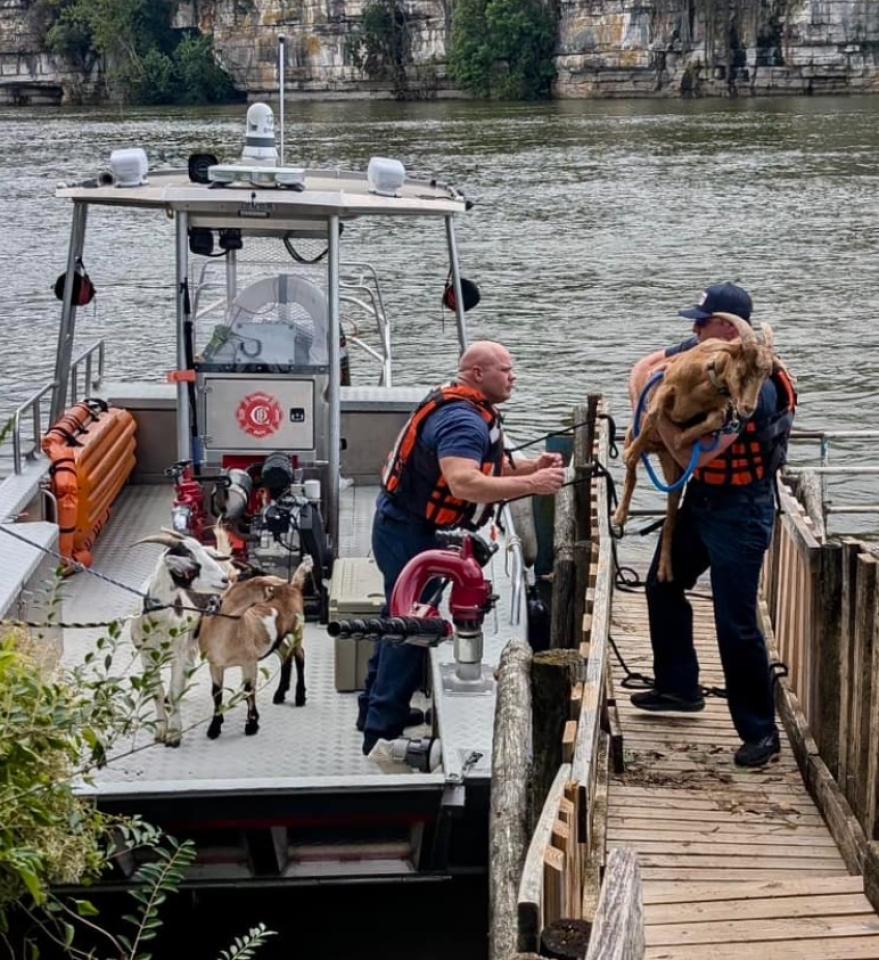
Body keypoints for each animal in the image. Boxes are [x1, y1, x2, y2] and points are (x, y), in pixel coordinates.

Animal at [199, 560, 312, 740]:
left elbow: (248, 691)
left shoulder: (249, 662)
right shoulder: (215, 664)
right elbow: (216, 693)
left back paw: (300, 697)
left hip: (297, 629)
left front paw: (252, 725)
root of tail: (294, 586)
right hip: (275, 639)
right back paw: (280, 694)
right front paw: (214, 727)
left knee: (299, 655)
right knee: (285, 654)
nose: (277, 585)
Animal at [616, 316, 772, 584]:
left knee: (670, 519)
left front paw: (681, 439)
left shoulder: (720, 408)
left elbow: (714, 419)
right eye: (741, 370)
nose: (748, 408)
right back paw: (620, 512)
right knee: (632, 474)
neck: (707, 380)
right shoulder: (665, 387)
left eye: (766, 375)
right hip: (630, 434)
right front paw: (633, 452)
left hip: (673, 472)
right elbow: (654, 413)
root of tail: (657, 450)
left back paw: (665, 569)